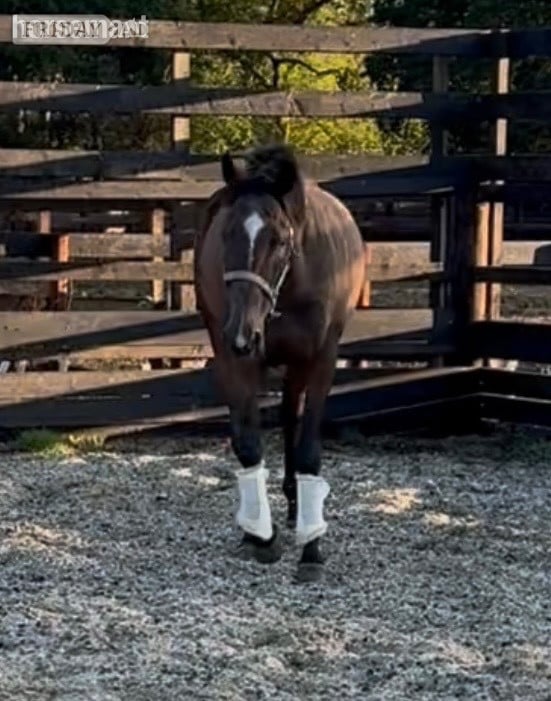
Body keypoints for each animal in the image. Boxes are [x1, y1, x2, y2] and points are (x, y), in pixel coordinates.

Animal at [194, 143, 365, 582]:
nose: (241, 332)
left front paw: (311, 548)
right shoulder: (236, 360)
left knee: (291, 415)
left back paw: (295, 509)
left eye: (280, 239)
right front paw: (260, 535)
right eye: (227, 233)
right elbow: (248, 444)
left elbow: (308, 450)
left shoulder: (321, 359)